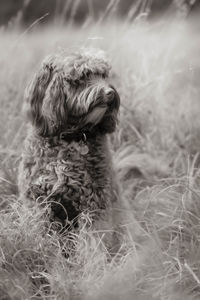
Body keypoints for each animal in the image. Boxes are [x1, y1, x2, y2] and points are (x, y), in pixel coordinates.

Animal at [18, 48, 123, 237]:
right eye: (83, 76)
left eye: (103, 75)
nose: (110, 93)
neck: (71, 137)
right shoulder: (38, 202)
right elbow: (42, 235)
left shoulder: (95, 203)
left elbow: (93, 238)